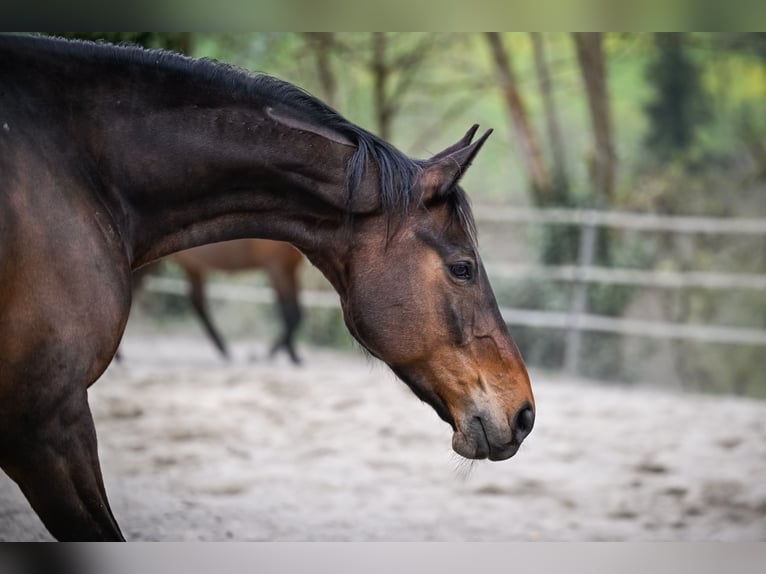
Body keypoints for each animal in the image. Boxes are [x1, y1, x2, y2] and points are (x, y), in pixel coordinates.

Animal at [132, 238, 304, 364]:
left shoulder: (289, 269)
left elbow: (295, 313)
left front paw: (291, 354)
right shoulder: (277, 268)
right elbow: (291, 313)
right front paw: (272, 353)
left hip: (189, 267)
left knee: (198, 303)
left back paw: (223, 349)